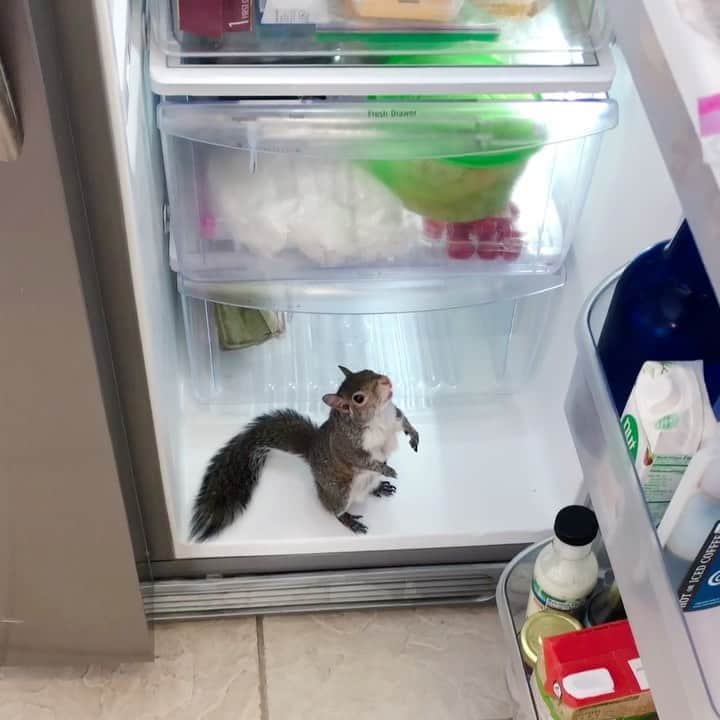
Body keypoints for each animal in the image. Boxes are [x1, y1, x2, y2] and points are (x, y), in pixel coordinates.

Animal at [191, 366, 420, 540]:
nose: (386, 381)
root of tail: (311, 451)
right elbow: (366, 462)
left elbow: (406, 423)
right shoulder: (348, 448)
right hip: (339, 493)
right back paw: (349, 520)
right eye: (358, 398)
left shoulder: (395, 416)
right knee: (333, 510)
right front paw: (387, 469)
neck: (379, 416)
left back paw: (379, 488)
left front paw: (414, 436)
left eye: (368, 370)